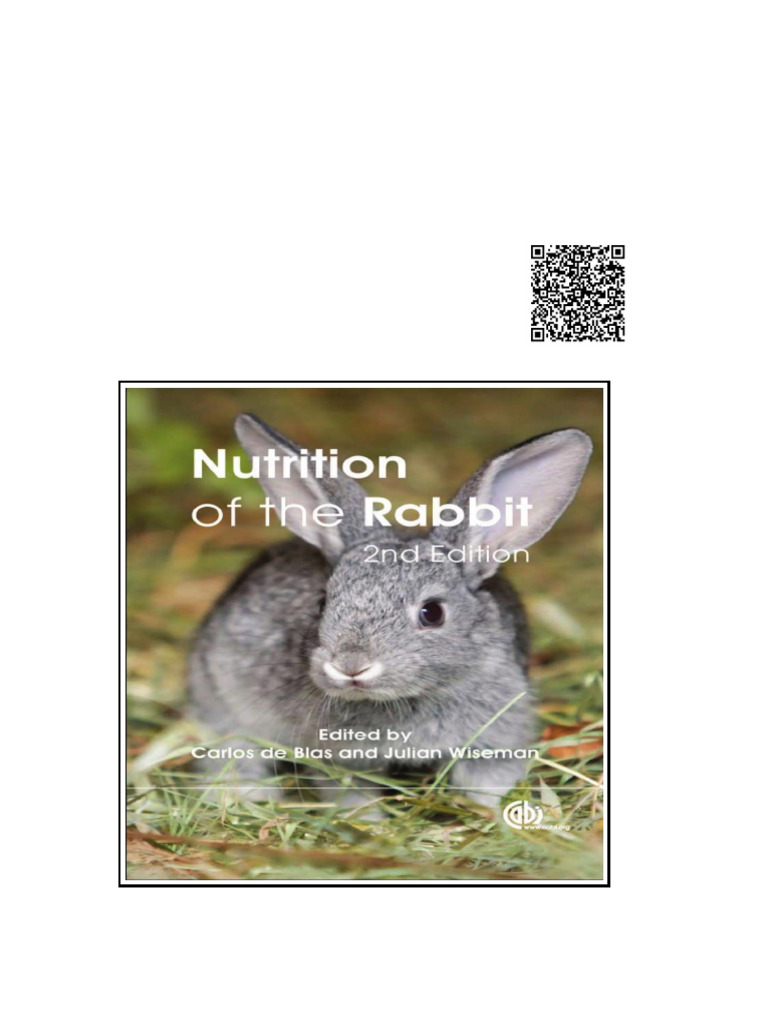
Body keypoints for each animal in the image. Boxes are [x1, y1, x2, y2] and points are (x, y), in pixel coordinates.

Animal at [187, 413, 592, 815]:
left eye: (432, 612)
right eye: (322, 603)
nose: (350, 665)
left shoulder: (495, 741)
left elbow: (488, 784)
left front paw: (492, 814)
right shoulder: (341, 759)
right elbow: (352, 795)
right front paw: (367, 820)